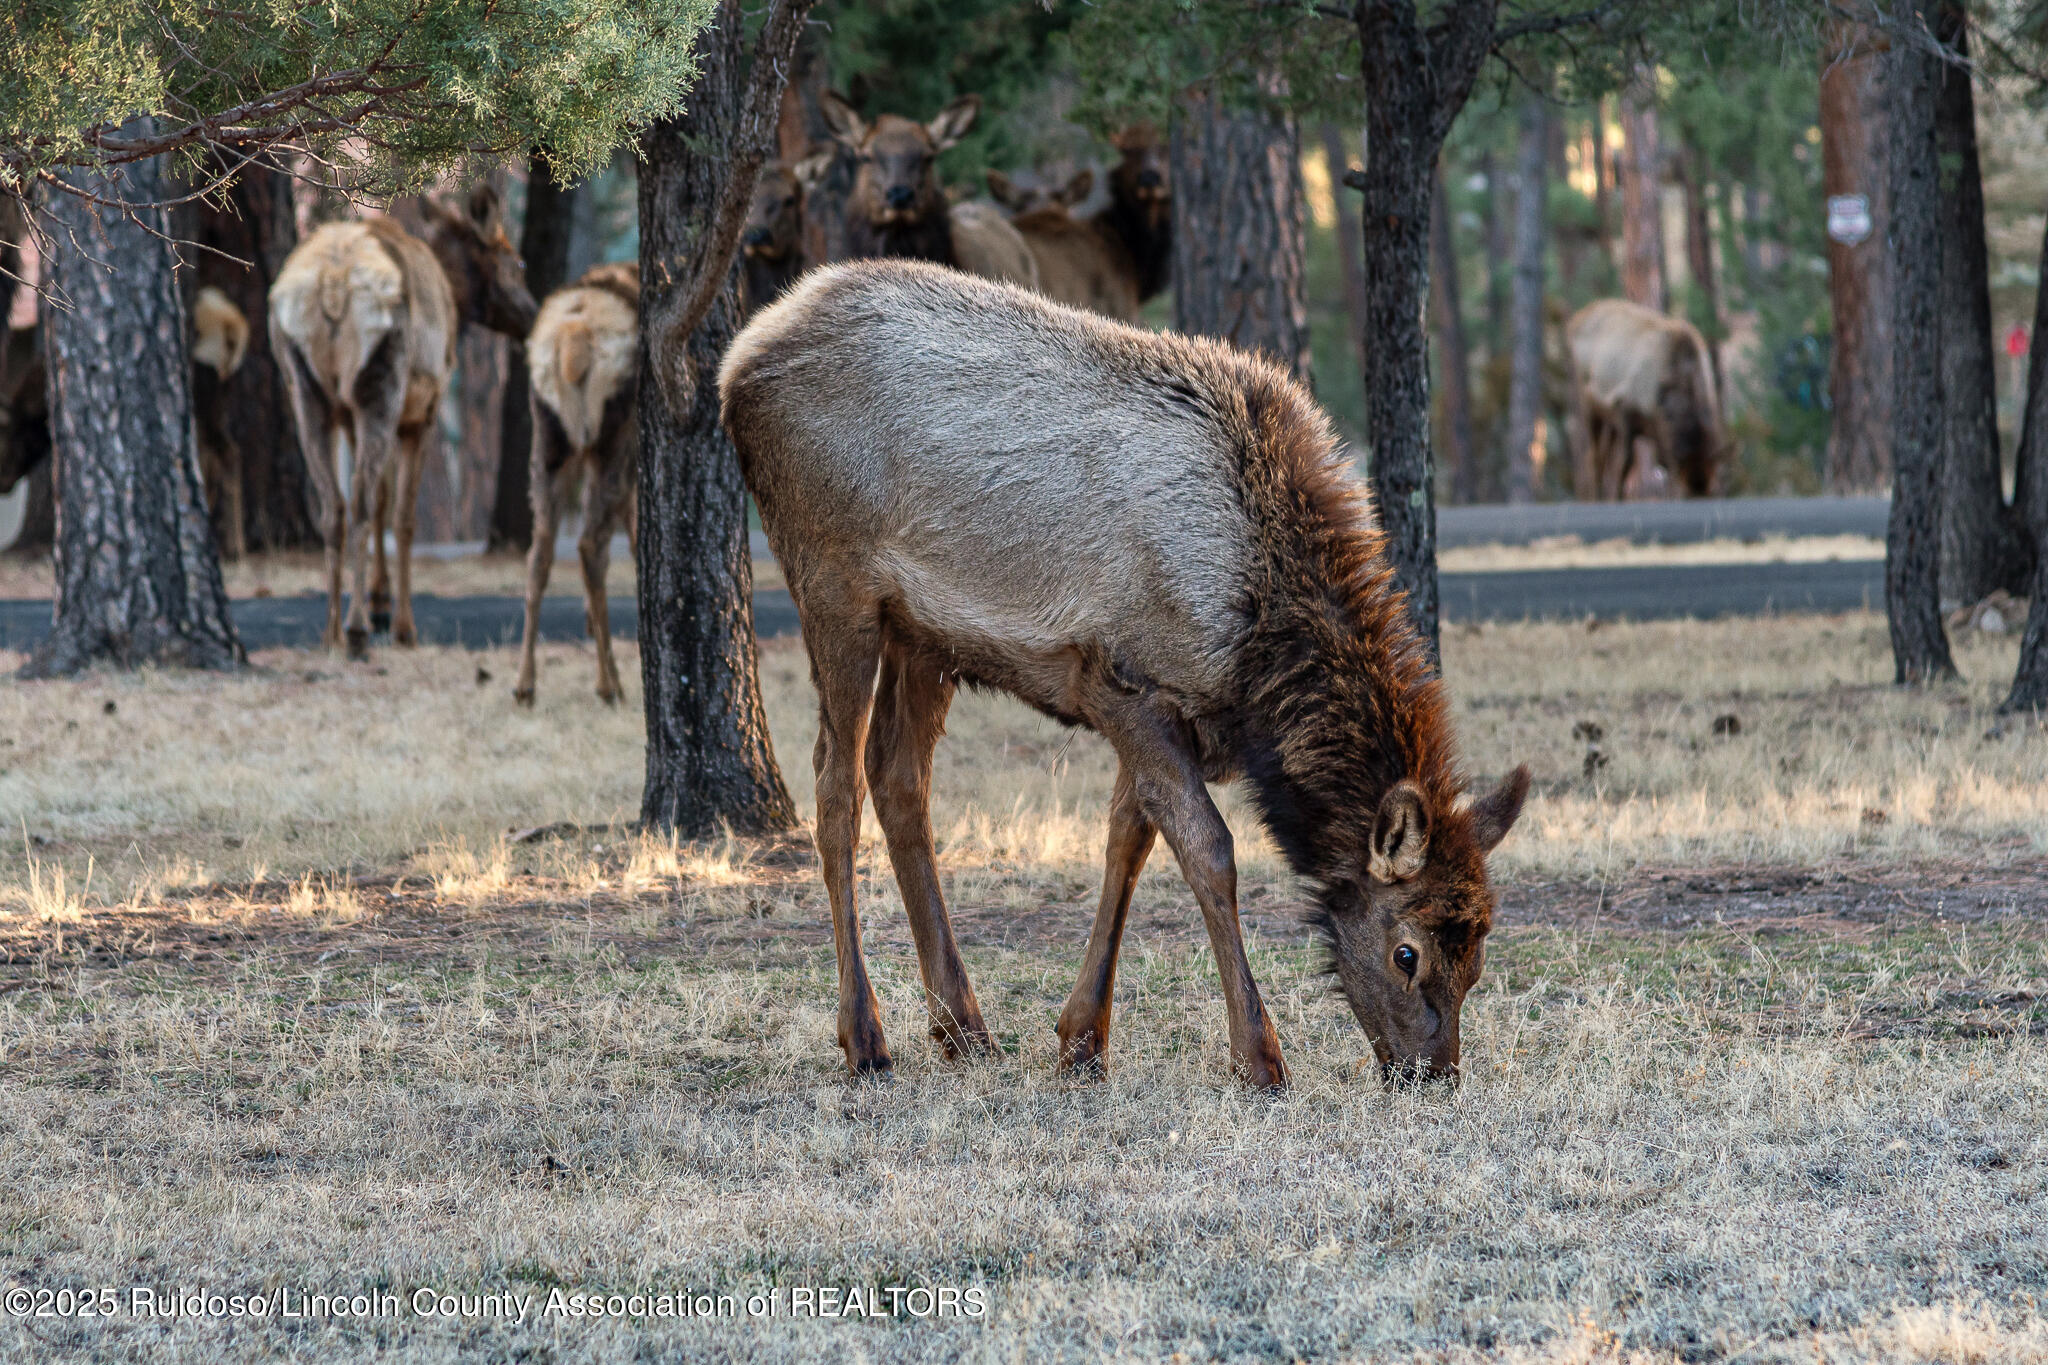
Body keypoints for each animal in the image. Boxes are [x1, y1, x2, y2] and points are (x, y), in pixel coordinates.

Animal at [269, 186, 535, 658]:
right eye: (516, 262)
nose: (535, 316)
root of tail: (332, 285)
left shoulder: (351, 419)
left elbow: (381, 502)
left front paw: (379, 600)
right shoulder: (421, 414)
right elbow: (402, 516)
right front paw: (399, 624)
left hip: (307, 390)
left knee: (334, 506)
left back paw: (332, 632)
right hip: (382, 380)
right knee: (357, 500)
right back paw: (356, 630)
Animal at [513, 262, 640, 708]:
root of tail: (573, 340)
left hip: (549, 441)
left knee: (539, 552)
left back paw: (524, 684)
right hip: (613, 441)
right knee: (590, 547)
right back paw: (610, 683)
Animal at [720, 260, 1530, 1090]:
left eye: (1478, 955)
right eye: (1407, 951)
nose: (1433, 1071)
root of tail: (738, 362)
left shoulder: (1162, 713)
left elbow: (1126, 841)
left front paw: (1081, 1037)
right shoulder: (1124, 683)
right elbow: (1209, 851)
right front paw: (1258, 1055)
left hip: (923, 635)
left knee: (898, 775)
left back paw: (963, 1027)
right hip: (833, 581)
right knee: (835, 785)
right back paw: (865, 1036)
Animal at [1566, 298, 1727, 500]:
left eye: (1713, 493)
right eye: (1685, 495)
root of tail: (1575, 320)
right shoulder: (1625, 408)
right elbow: (1625, 464)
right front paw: (1617, 498)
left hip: (1608, 418)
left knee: (1604, 455)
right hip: (1587, 400)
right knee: (1594, 456)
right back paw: (1596, 496)